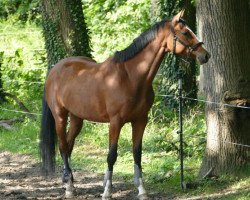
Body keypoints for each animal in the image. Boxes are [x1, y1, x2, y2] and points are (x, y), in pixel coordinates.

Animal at [40, 10, 210, 198]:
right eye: (186, 32)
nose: (205, 55)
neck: (131, 77)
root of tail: (54, 69)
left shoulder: (140, 120)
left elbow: (137, 154)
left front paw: (141, 190)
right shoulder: (115, 122)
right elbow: (111, 155)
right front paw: (107, 191)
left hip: (77, 118)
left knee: (69, 145)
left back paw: (68, 181)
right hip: (60, 116)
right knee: (63, 146)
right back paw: (69, 188)